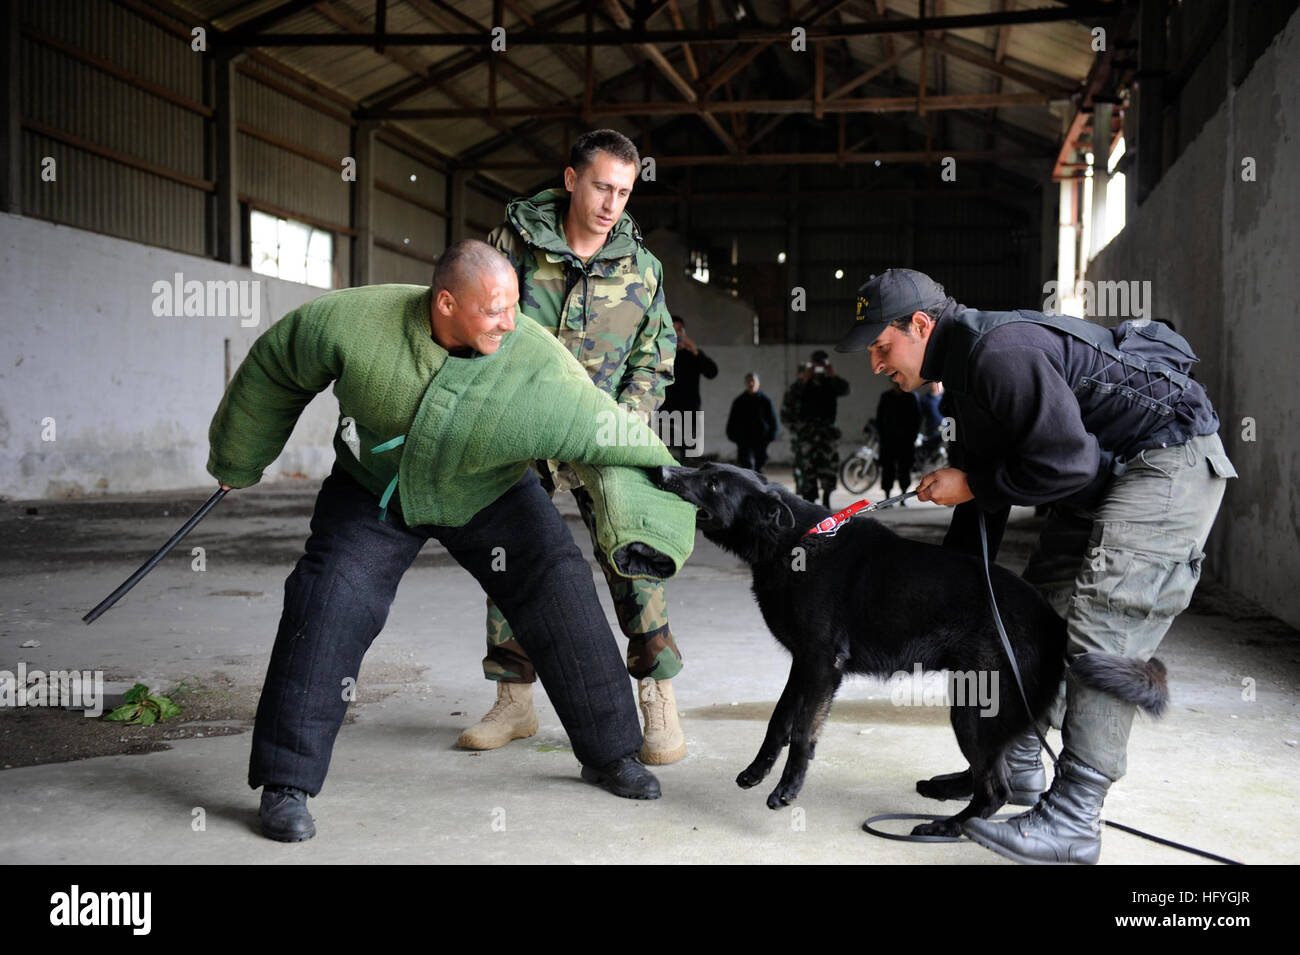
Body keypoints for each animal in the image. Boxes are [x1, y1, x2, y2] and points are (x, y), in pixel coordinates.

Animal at [655, 462, 1175, 836]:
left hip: (973, 711)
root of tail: (1054, 621)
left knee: (996, 789)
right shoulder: (803, 663)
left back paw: (949, 828)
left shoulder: (822, 665)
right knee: (995, 776)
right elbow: (778, 719)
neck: (795, 541)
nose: (662, 470)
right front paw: (758, 770)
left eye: (713, 483)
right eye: (703, 469)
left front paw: (787, 789)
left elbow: (802, 732)